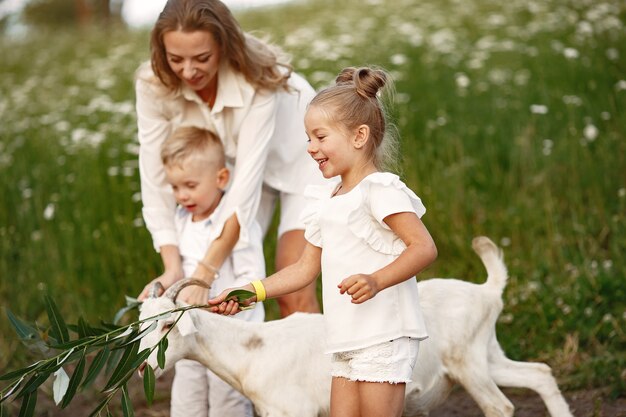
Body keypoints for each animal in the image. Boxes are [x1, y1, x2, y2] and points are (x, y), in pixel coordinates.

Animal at [135, 236, 572, 416]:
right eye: (140, 325)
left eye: (167, 327)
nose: (141, 367)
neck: (252, 351)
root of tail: (488, 291)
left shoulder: (294, 411)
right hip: (487, 355)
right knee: (539, 373)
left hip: (469, 364)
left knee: (501, 405)